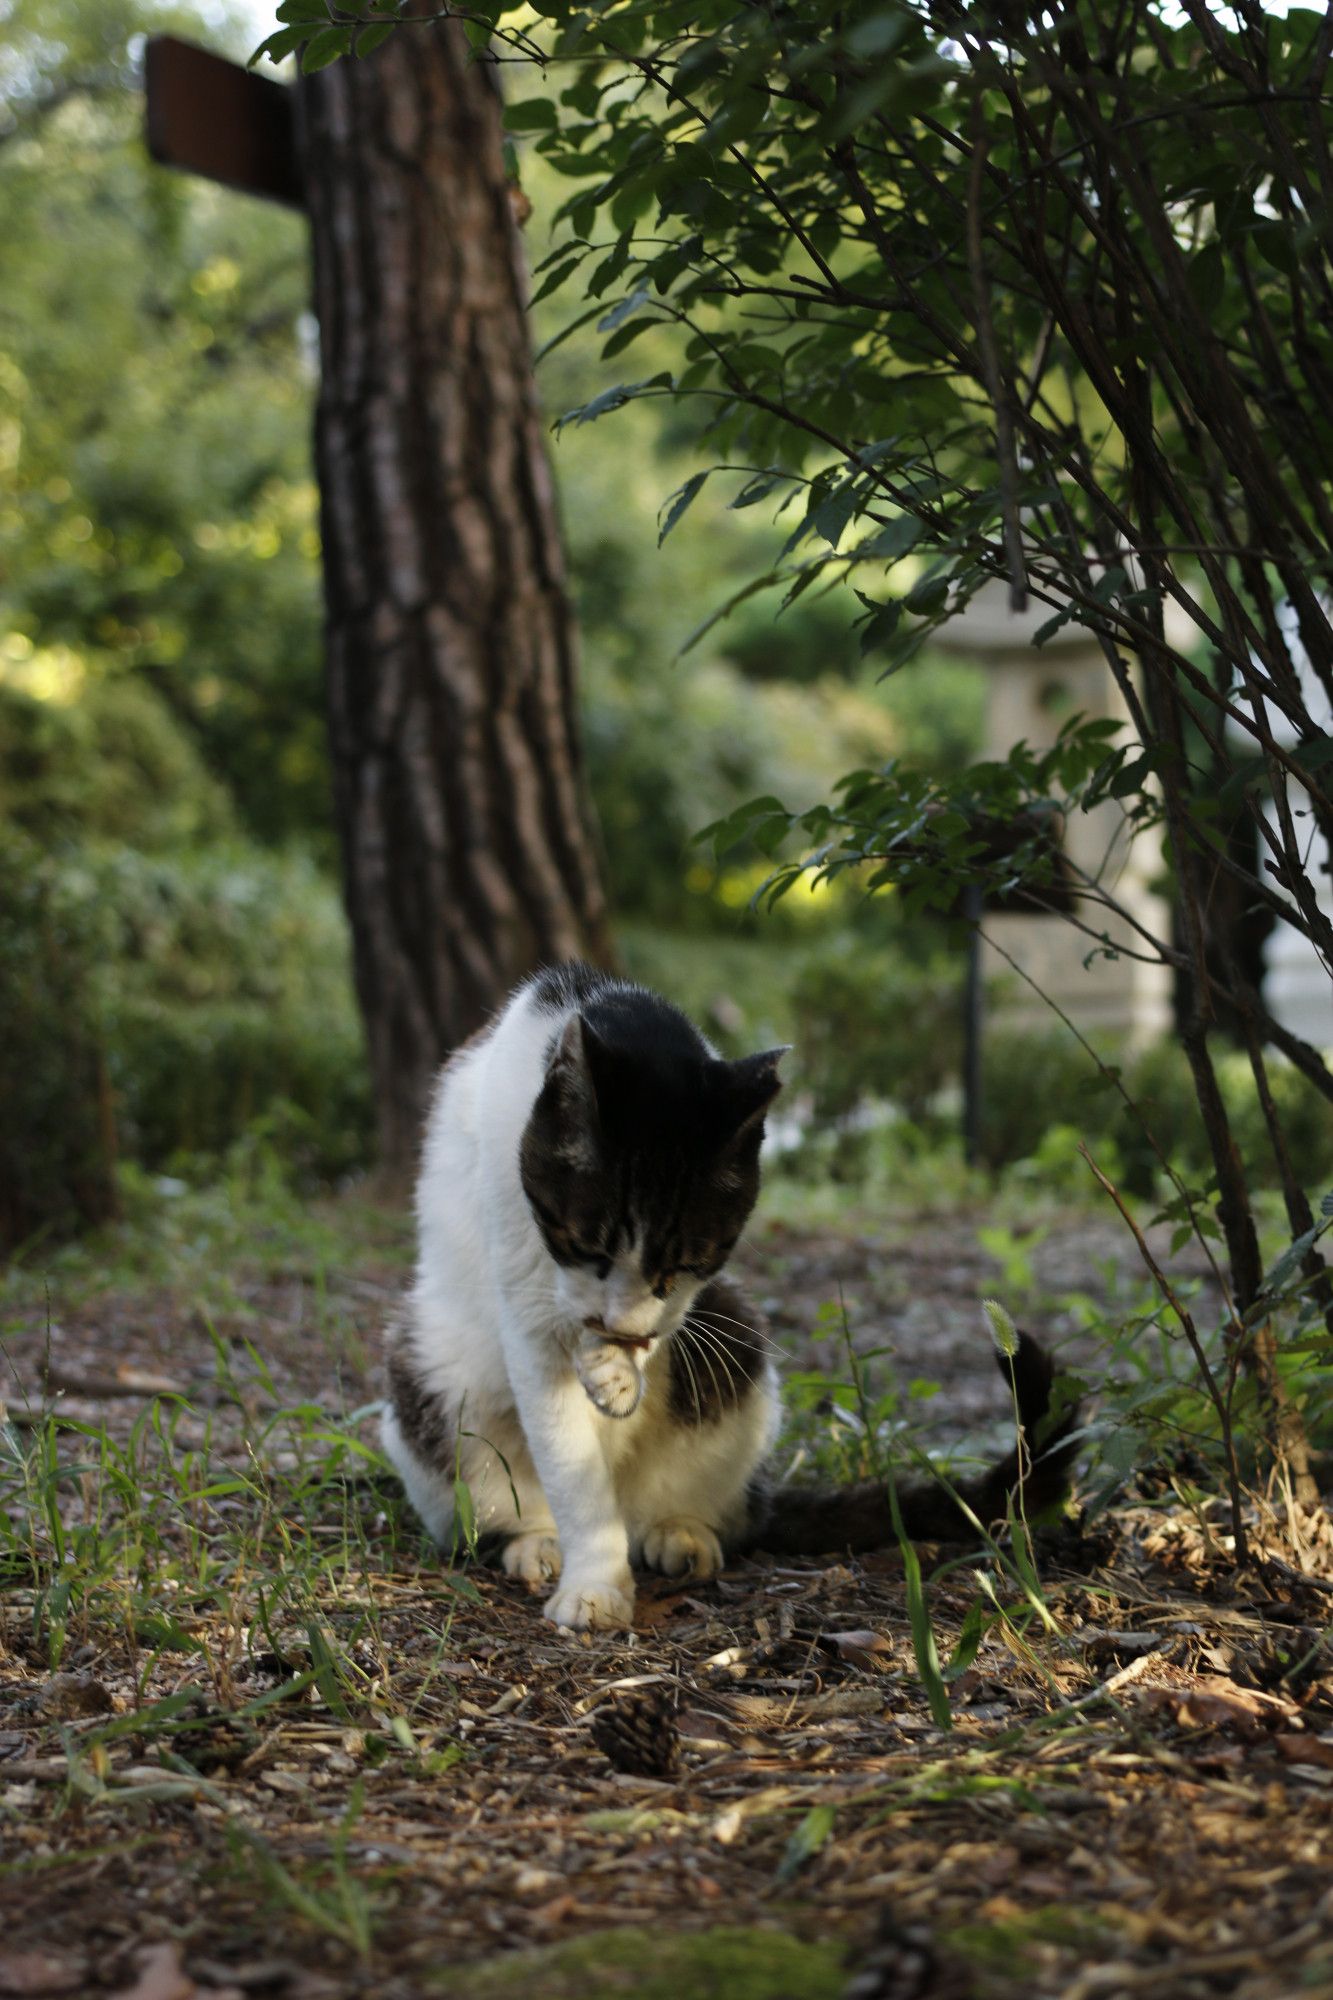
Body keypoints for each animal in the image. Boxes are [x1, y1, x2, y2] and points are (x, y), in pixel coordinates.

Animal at [382, 960, 1072, 1632]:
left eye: (690, 1261)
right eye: (587, 1245)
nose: (623, 1329)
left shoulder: (687, 1304)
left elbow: (652, 1329)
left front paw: (617, 1373)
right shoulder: (526, 1298)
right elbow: (570, 1464)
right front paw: (594, 1588)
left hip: (736, 1333)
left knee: (701, 1504)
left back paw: (680, 1534)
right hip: (428, 1371)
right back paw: (537, 1543)